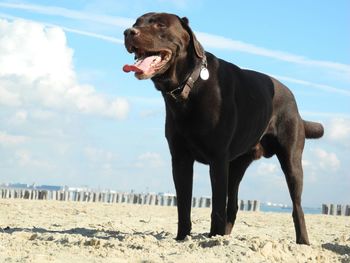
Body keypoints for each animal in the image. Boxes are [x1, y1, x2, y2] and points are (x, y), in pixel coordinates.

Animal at [122, 12, 322, 245]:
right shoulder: (180, 159)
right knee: (233, 205)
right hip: (236, 165)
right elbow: (184, 204)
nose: (128, 32)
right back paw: (225, 237)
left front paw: (212, 239)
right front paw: (183, 237)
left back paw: (302, 241)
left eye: (160, 25)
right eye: (136, 23)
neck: (188, 87)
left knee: (296, 206)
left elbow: (216, 204)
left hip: (291, 161)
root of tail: (293, 100)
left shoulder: (217, 159)